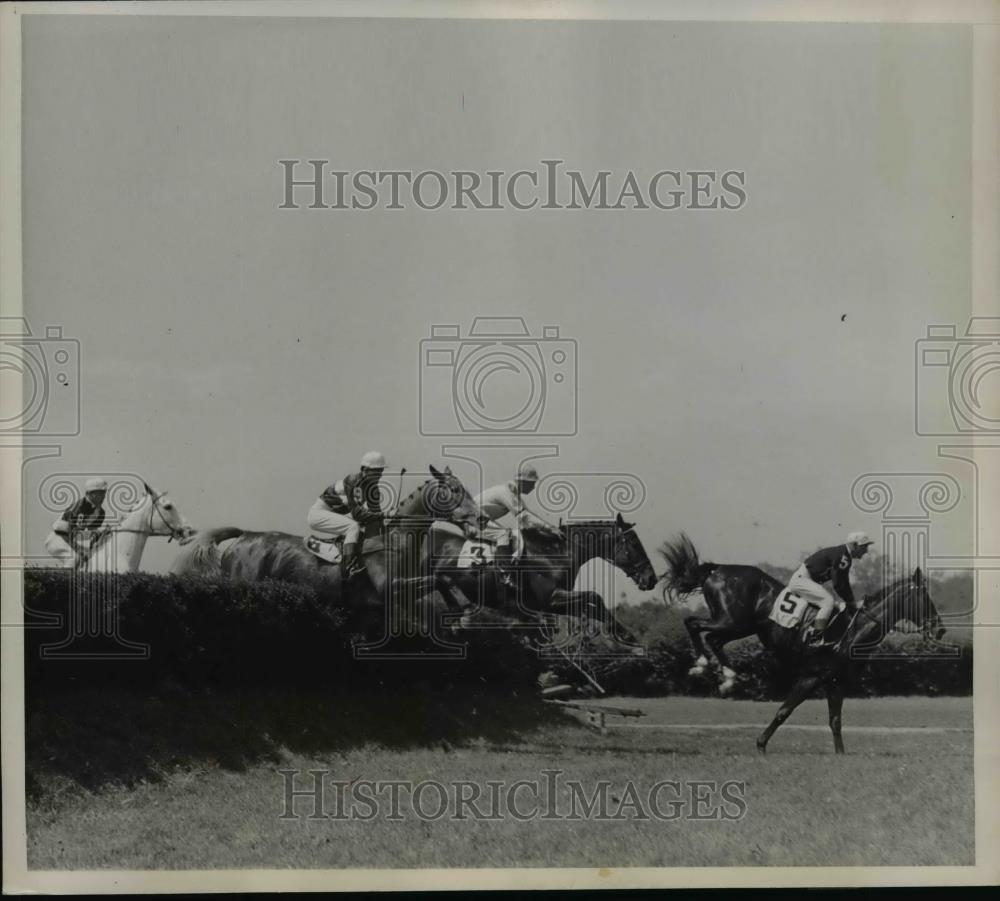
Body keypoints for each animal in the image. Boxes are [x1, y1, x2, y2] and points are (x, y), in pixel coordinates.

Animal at [660, 536, 948, 752]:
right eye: (925, 597)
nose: (940, 629)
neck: (853, 630)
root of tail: (717, 569)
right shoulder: (811, 677)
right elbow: (783, 711)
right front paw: (761, 744)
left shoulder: (836, 681)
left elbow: (835, 721)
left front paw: (840, 754)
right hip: (732, 621)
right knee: (696, 626)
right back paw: (704, 666)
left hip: (738, 626)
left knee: (710, 636)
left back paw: (725, 676)